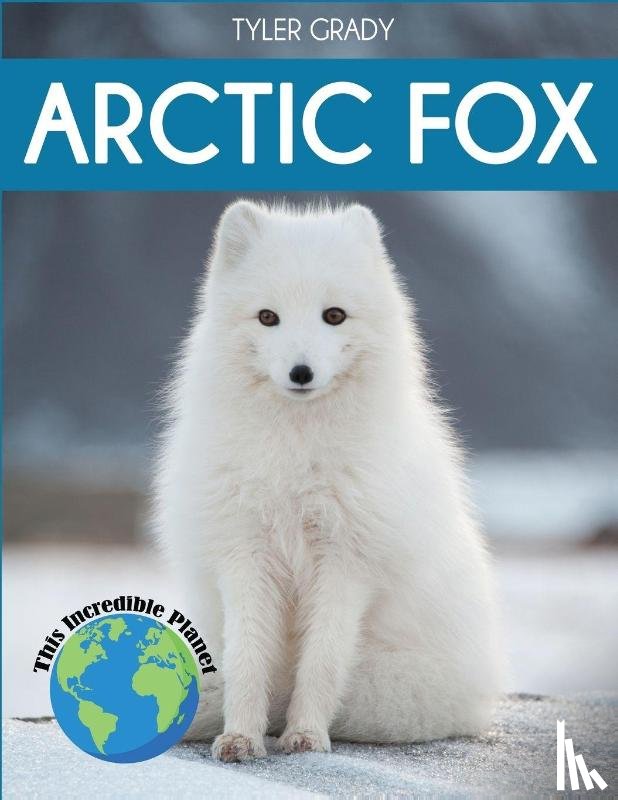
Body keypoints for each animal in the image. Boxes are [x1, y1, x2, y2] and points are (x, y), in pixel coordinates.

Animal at [154, 200, 502, 762]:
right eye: (268, 316)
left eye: (333, 315)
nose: (301, 372)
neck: (296, 459)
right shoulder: (244, 553)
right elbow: (247, 659)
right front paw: (241, 736)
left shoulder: (347, 562)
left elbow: (321, 661)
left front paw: (305, 735)